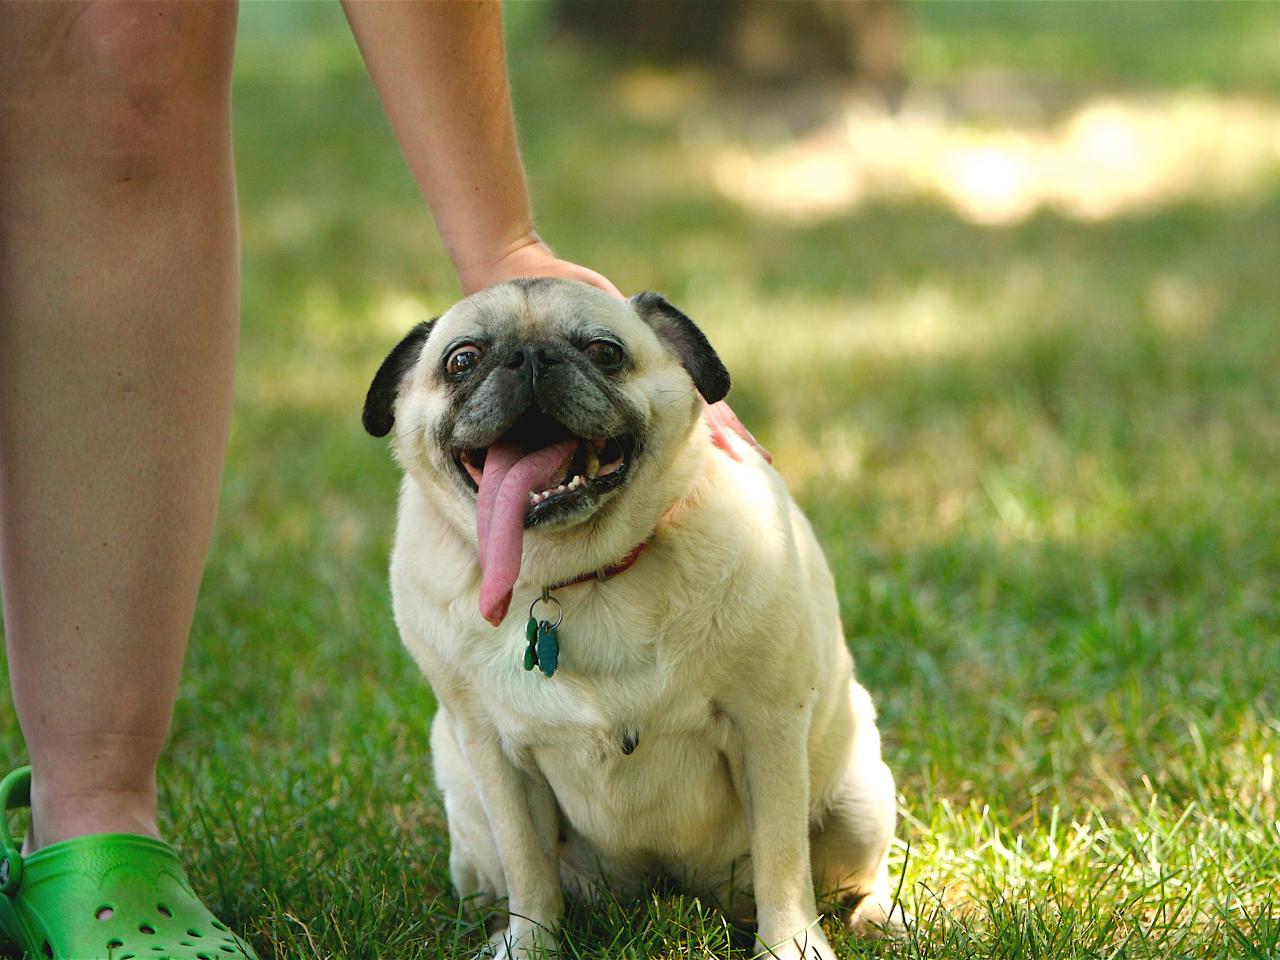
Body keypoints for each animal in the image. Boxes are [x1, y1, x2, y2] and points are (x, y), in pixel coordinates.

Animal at [366, 280, 906, 960]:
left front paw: (791, 947)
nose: (530, 357)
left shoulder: (768, 727)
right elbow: (529, 871)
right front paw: (530, 945)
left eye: (604, 351)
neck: (582, 579)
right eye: (461, 360)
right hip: (468, 810)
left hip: (858, 799)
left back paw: (881, 915)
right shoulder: (492, 753)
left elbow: (782, 864)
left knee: (852, 875)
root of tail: (670, 891)